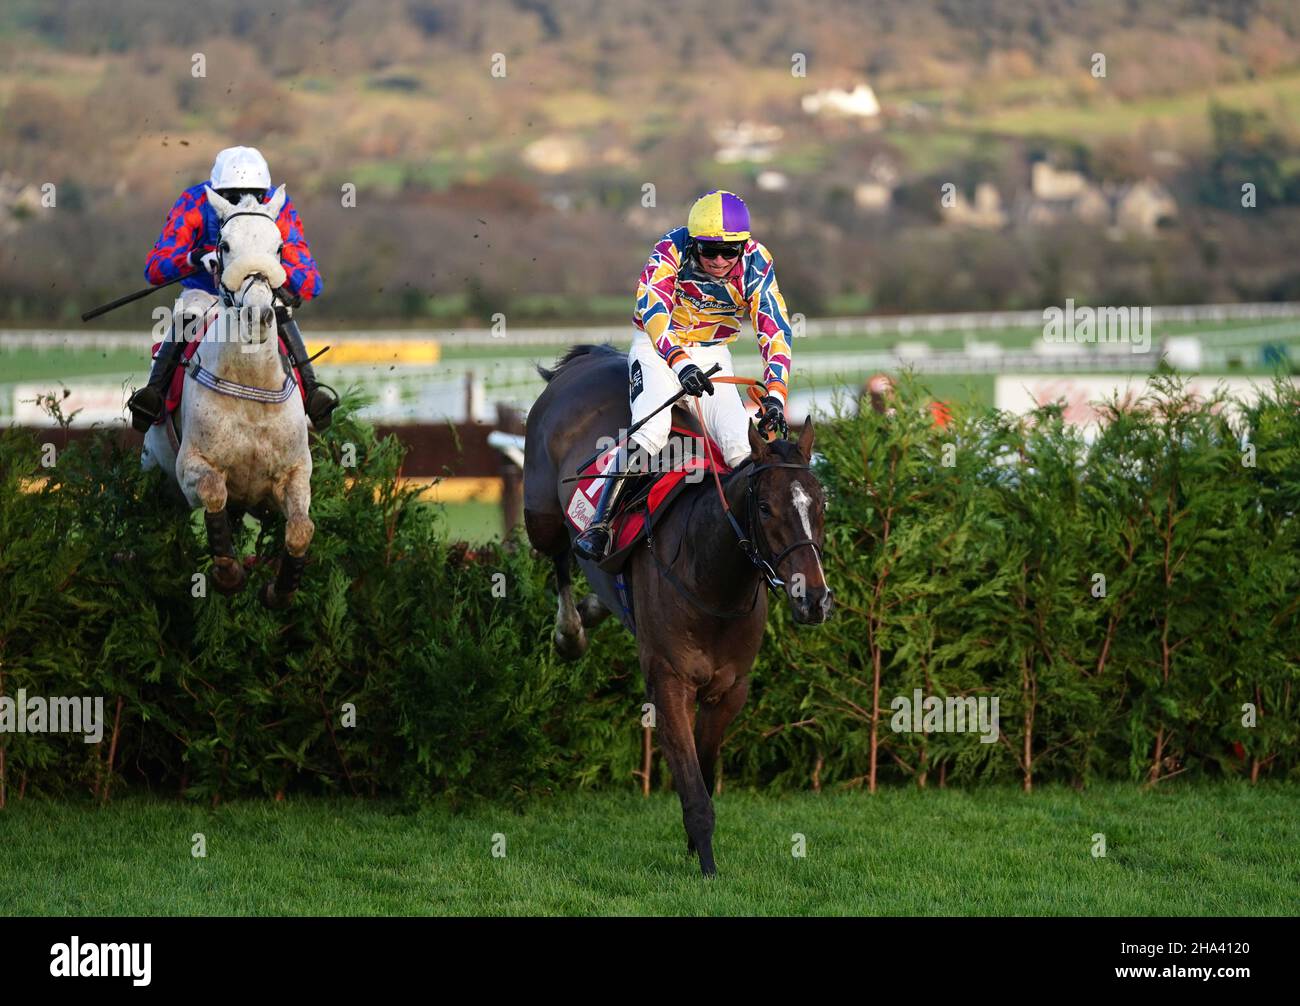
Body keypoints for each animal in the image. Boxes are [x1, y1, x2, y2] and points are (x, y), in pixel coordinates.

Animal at [525, 345, 832, 873]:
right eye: (766, 508)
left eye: (820, 505)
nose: (813, 599)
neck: (709, 579)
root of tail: (589, 359)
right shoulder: (668, 681)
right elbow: (692, 787)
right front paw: (706, 866)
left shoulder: (729, 689)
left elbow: (704, 777)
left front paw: (695, 849)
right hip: (540, 513)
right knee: (561, 554)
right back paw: (571, 629)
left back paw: (593, 608)